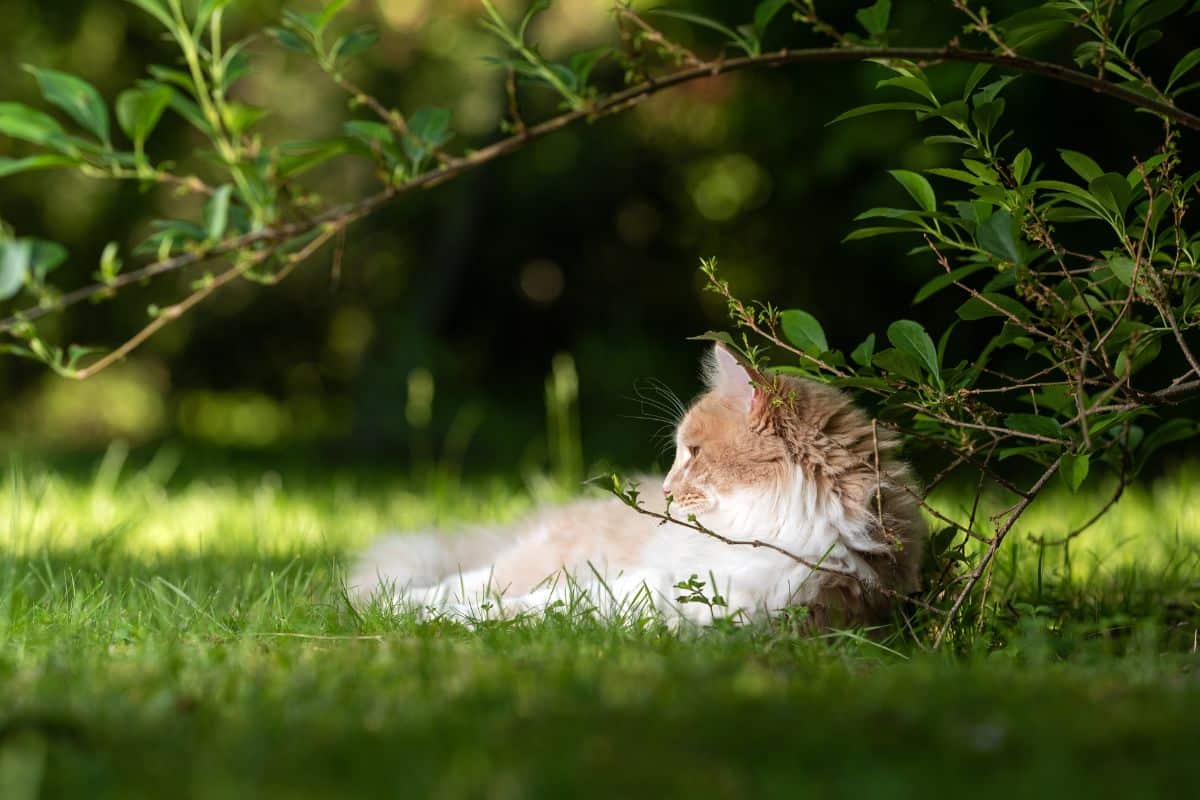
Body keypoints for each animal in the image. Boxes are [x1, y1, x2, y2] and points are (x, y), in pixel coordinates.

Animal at [348, 347, 926, 628]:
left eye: (692, 453)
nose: (666, 491)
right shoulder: (649, 580)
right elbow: (531, 603)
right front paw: (436, 616)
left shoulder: (690, 606)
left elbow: (551, 611)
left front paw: (465, 623)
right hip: (547, 555)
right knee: (463, 580)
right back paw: (383, 602)